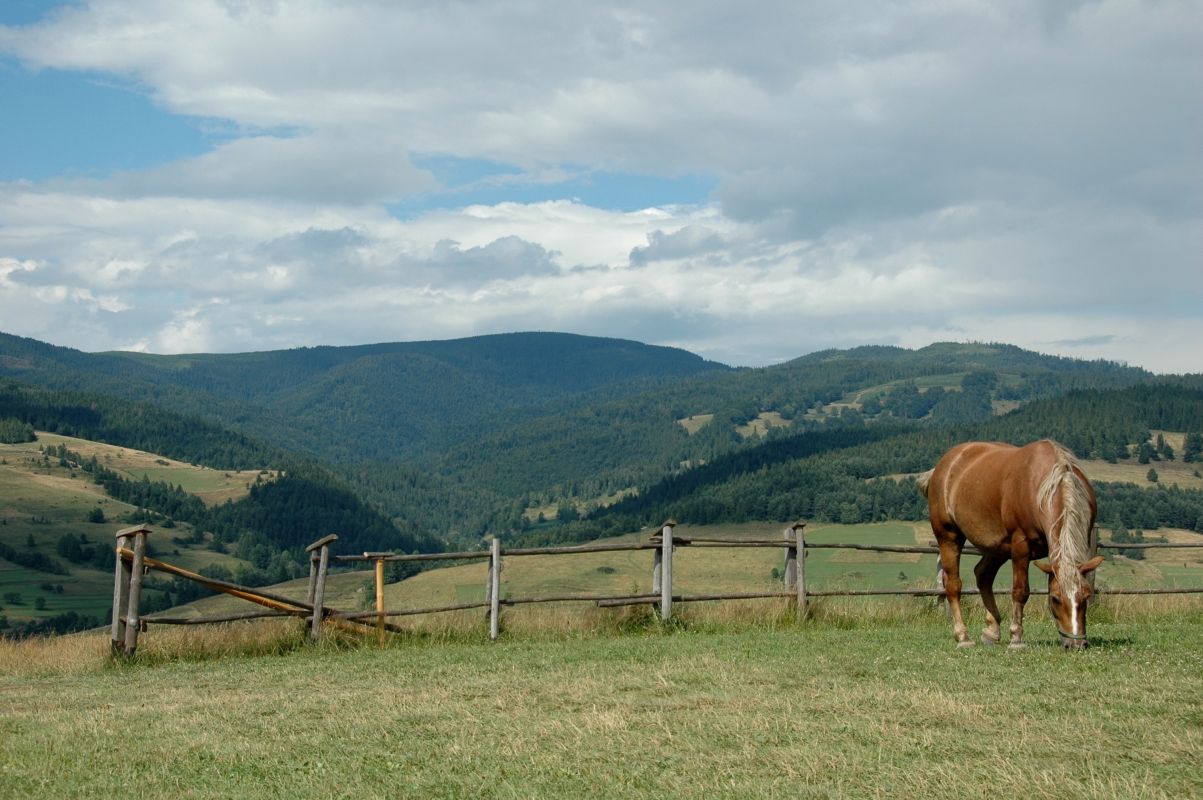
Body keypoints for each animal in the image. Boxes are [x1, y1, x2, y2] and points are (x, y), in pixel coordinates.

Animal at [914, 437, 1101, 649]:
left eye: (1086, 596)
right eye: (1055, 598)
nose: (1076, 643)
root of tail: (943, 466)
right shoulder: (1020, 545)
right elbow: (1020, 591)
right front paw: (1016, 638)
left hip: (999, 548)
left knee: (983, 575)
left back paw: (991, 631)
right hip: (949, 537)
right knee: (953, 585)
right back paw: (963, 637)